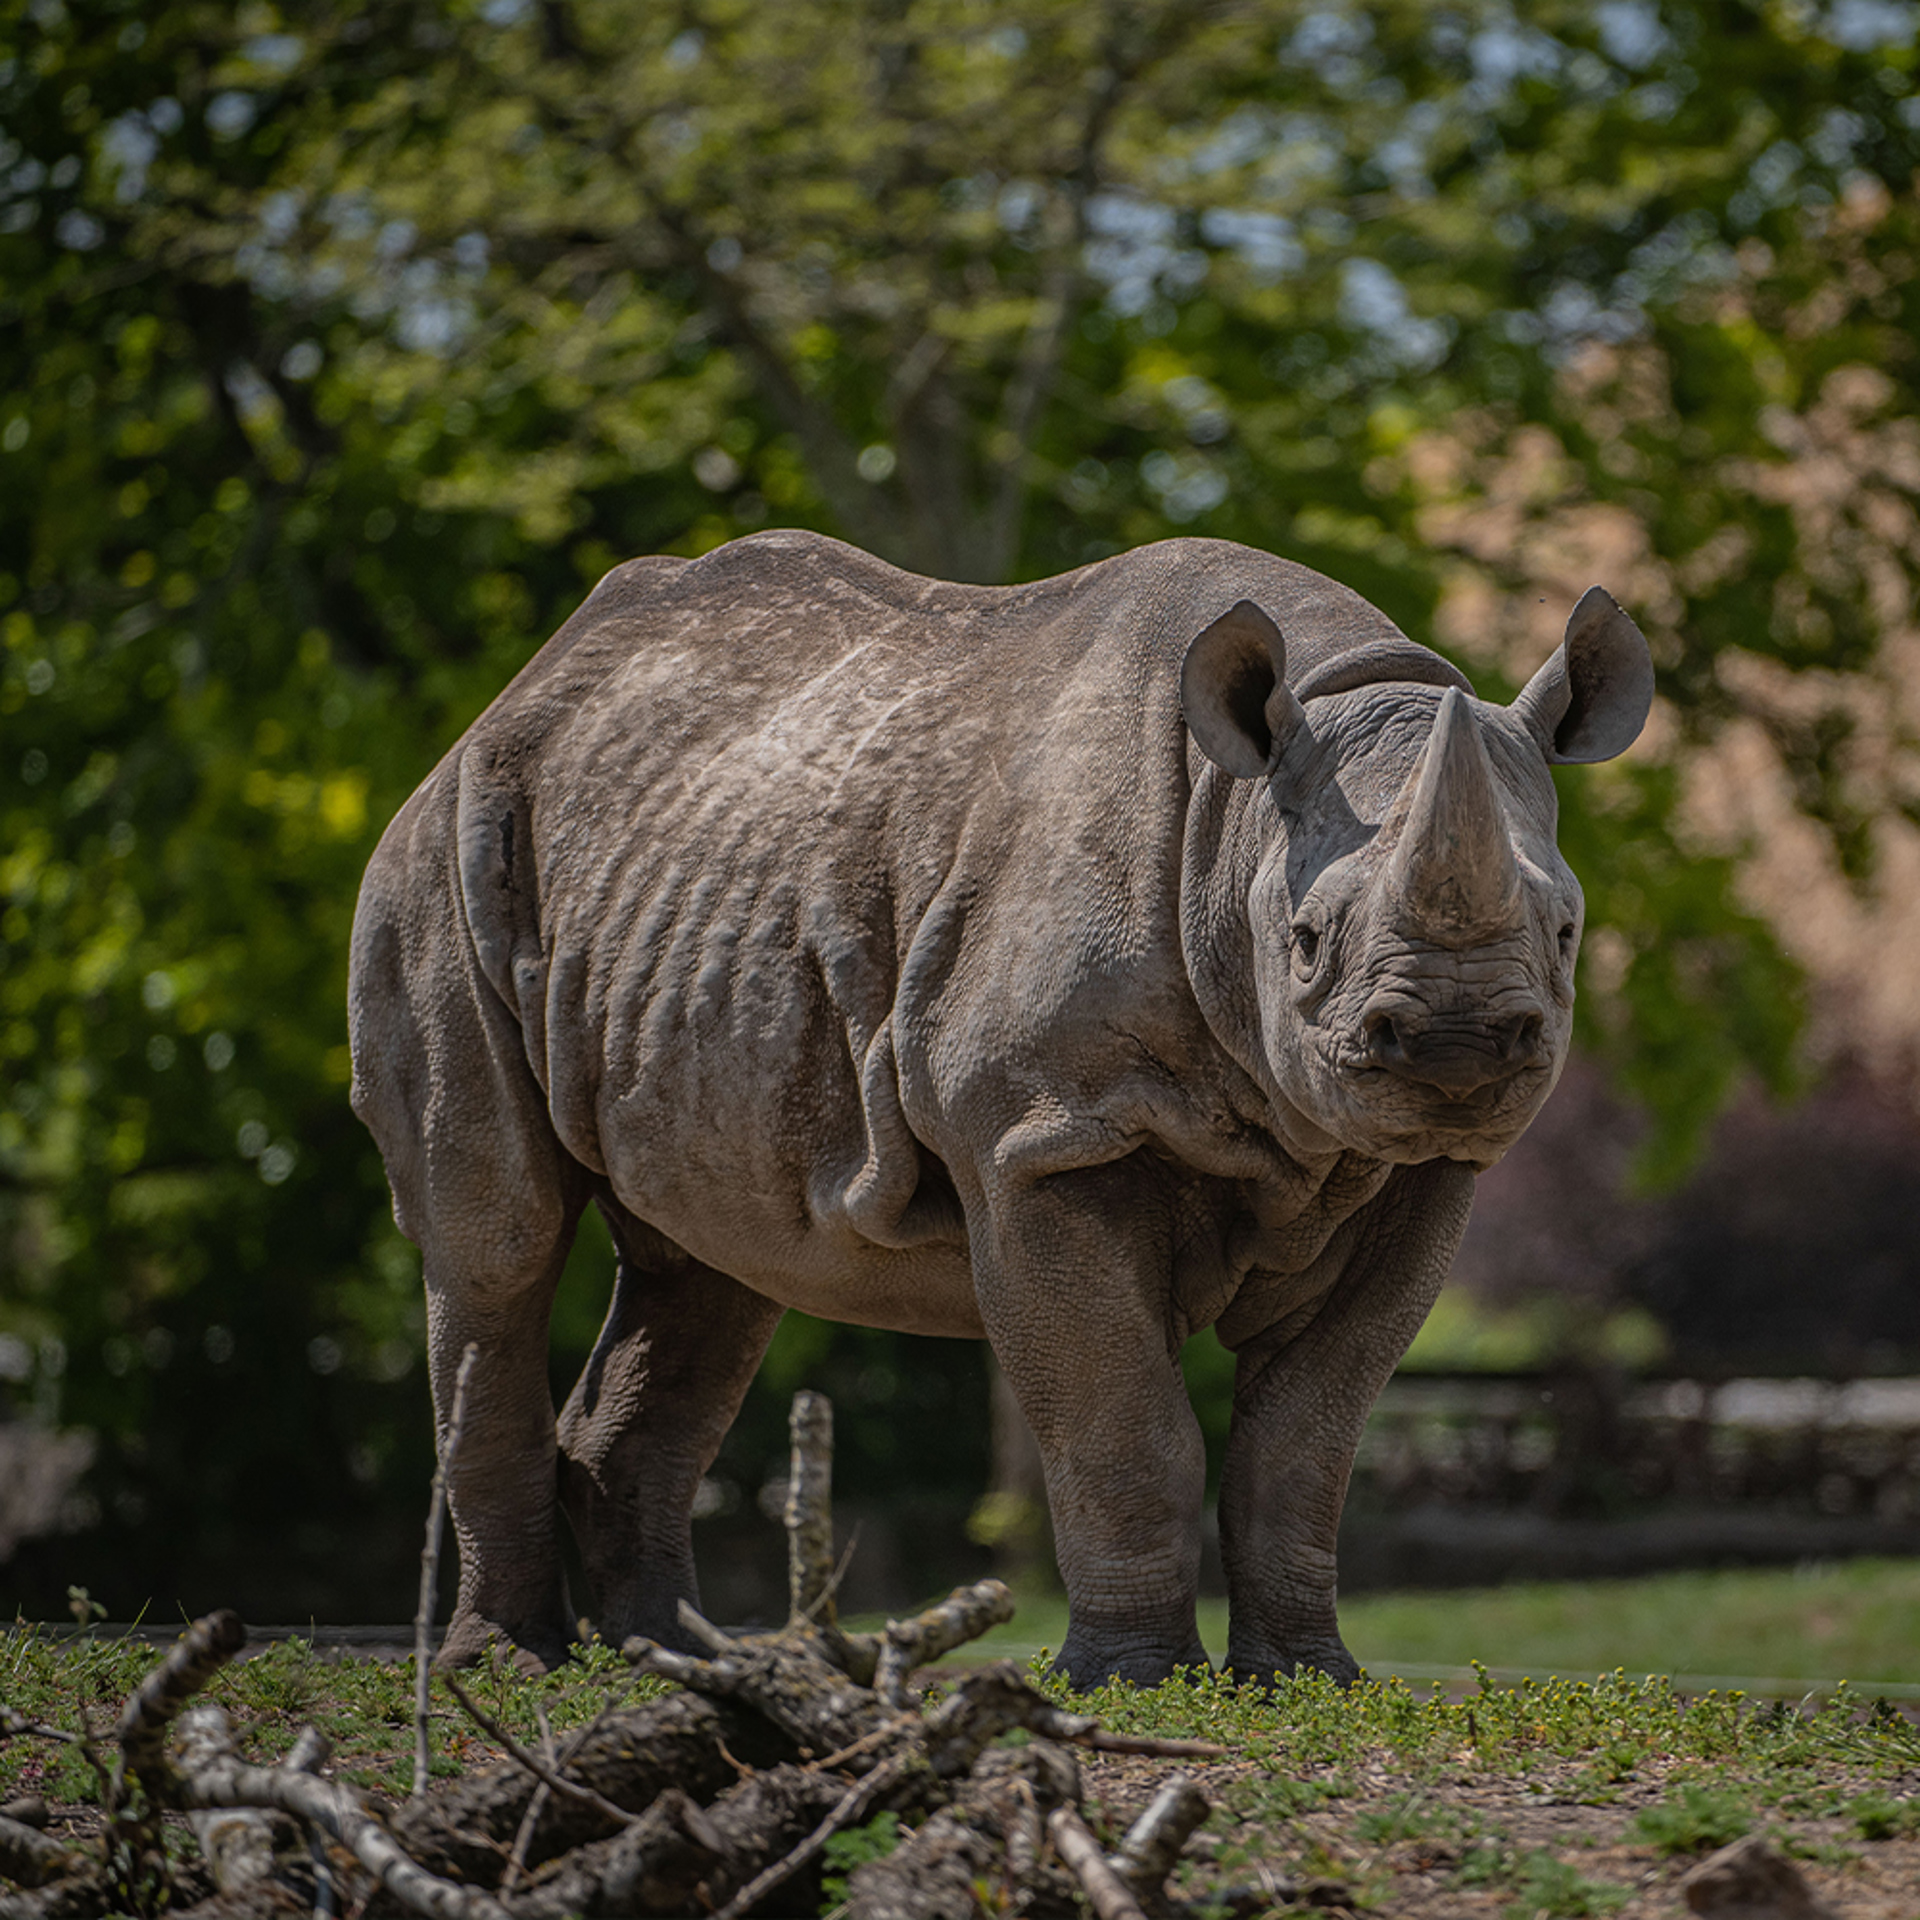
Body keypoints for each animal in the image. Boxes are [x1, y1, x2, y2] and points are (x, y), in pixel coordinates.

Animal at [348, 529, 1652, 1686]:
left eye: (1566, 932)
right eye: (1307, 940)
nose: (1455, 1047)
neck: (1236, 832)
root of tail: (511, 696)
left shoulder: (1419, 1172)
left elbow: (1307, 1437)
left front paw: (1306, 1681)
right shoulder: (1045, 1135)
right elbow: (1127, 1425)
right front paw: (1132, 1684)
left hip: (684, 881)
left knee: (711, 1258)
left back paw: (680, 1663)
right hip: (450, 846)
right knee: (499, 1244)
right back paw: (511, 1667)